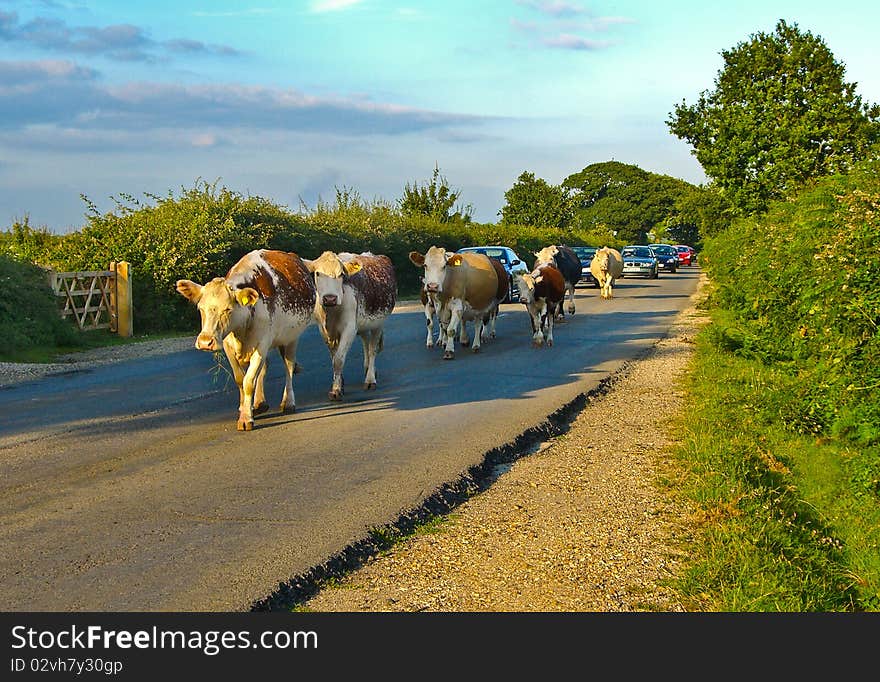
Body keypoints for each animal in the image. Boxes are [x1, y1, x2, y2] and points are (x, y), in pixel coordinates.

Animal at [175, 248, 316, 430]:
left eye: (227, 309)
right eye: (200, 308)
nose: (206, 342)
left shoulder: (261, 344)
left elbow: (249, 381)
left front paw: (246, 418)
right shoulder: (228, 345)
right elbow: (240, 379)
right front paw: (245, 408)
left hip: (291, 338)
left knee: (289, 367)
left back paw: (288, 402)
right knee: (264, 369)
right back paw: (259, 403)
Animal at [304, 250, 398, 398]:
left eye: (341, 274)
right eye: (318, 273)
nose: (330, 298)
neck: (331, 312)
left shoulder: (349, 328)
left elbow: (338, 359)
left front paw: (336, 390)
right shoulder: (324, 330)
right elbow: (334, 358)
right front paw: (339, 384)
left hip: (378, 323)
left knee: (372, 349)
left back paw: (370, 379)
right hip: (363, 324)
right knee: (366, 342)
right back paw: (367, 368)